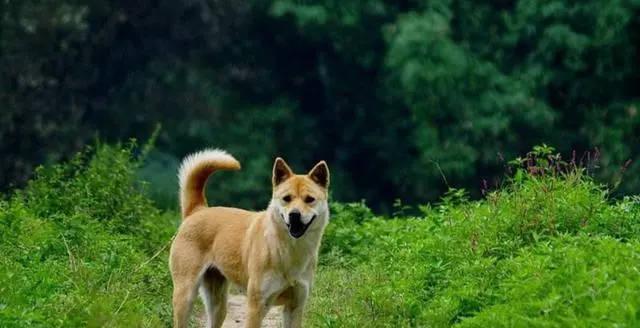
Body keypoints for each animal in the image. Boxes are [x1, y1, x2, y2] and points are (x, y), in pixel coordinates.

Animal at [170, 149, 330, 328]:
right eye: (286, 198)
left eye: (309, 199)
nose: (294, 215)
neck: (289, 250)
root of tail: (198, 210)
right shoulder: (257, 306)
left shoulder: (295, 306)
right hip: (185, 296)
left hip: (218, 304)